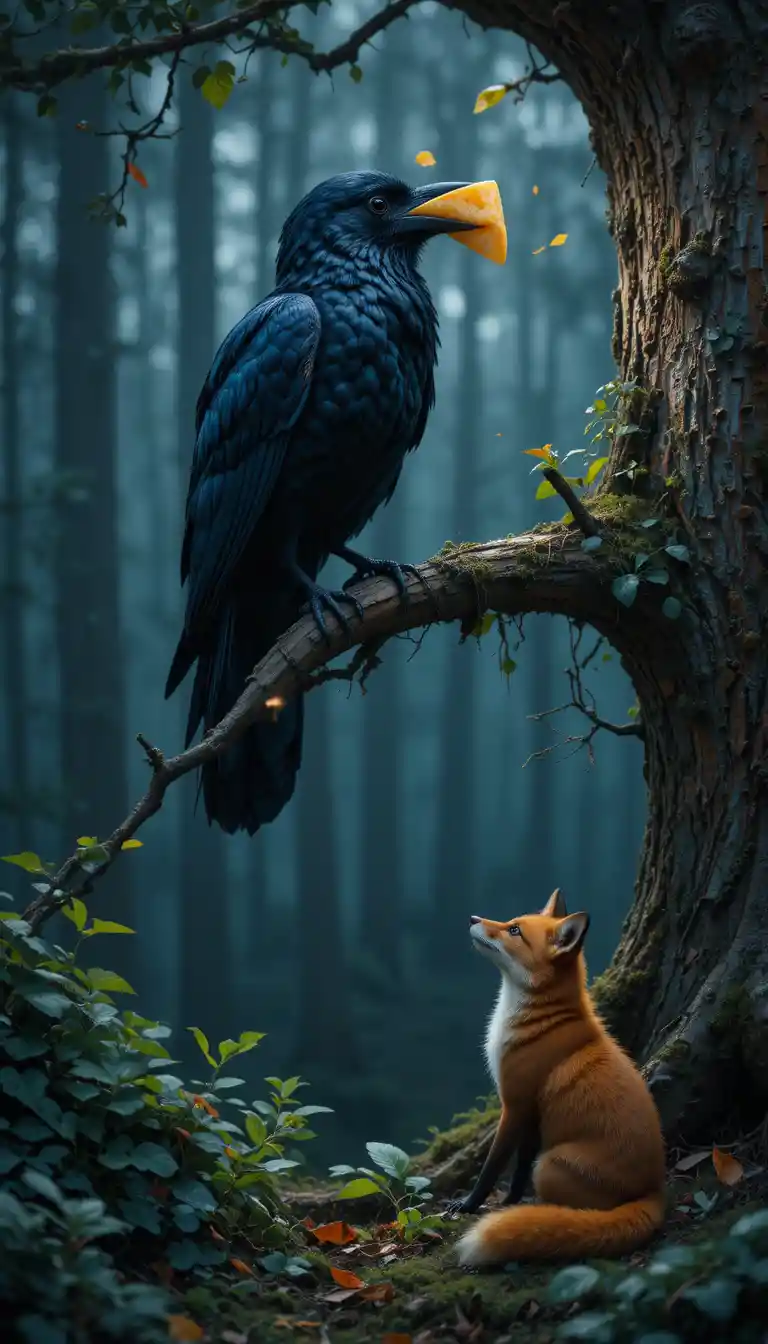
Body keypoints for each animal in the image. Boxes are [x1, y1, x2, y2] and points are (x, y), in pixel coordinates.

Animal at [451, 890, 666, 1266]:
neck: (540, 1020)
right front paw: (509, 1203)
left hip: (549, 1166)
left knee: (580, 1211)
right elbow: (519, 1168)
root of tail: (653, 1191)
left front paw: (469, 1205)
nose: (473, 918)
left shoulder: (515, 1103)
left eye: (514, 930)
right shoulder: (533, 1112)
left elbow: (493, 1166)